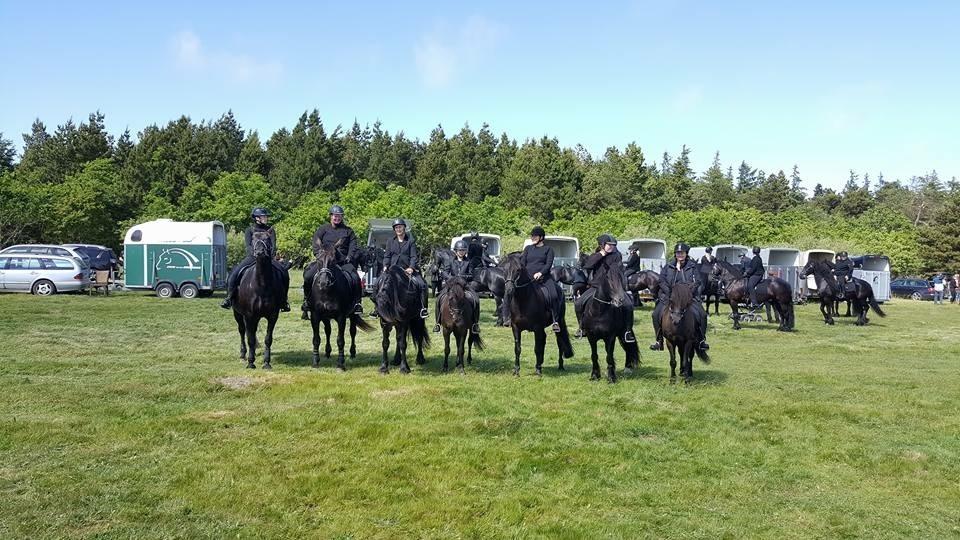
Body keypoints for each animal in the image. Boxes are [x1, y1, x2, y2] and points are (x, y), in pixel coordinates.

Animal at [233, 230, 288, 370]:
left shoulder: (273, 316)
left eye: (268, 239)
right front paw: (251, 362)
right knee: (242, 331)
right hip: (237, 313)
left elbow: (268, 339)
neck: (262, 285)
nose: (259, 252)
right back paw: (243, 354)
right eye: (252, 240)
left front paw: (267, 362)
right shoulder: (249, 315)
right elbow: (250, 338)